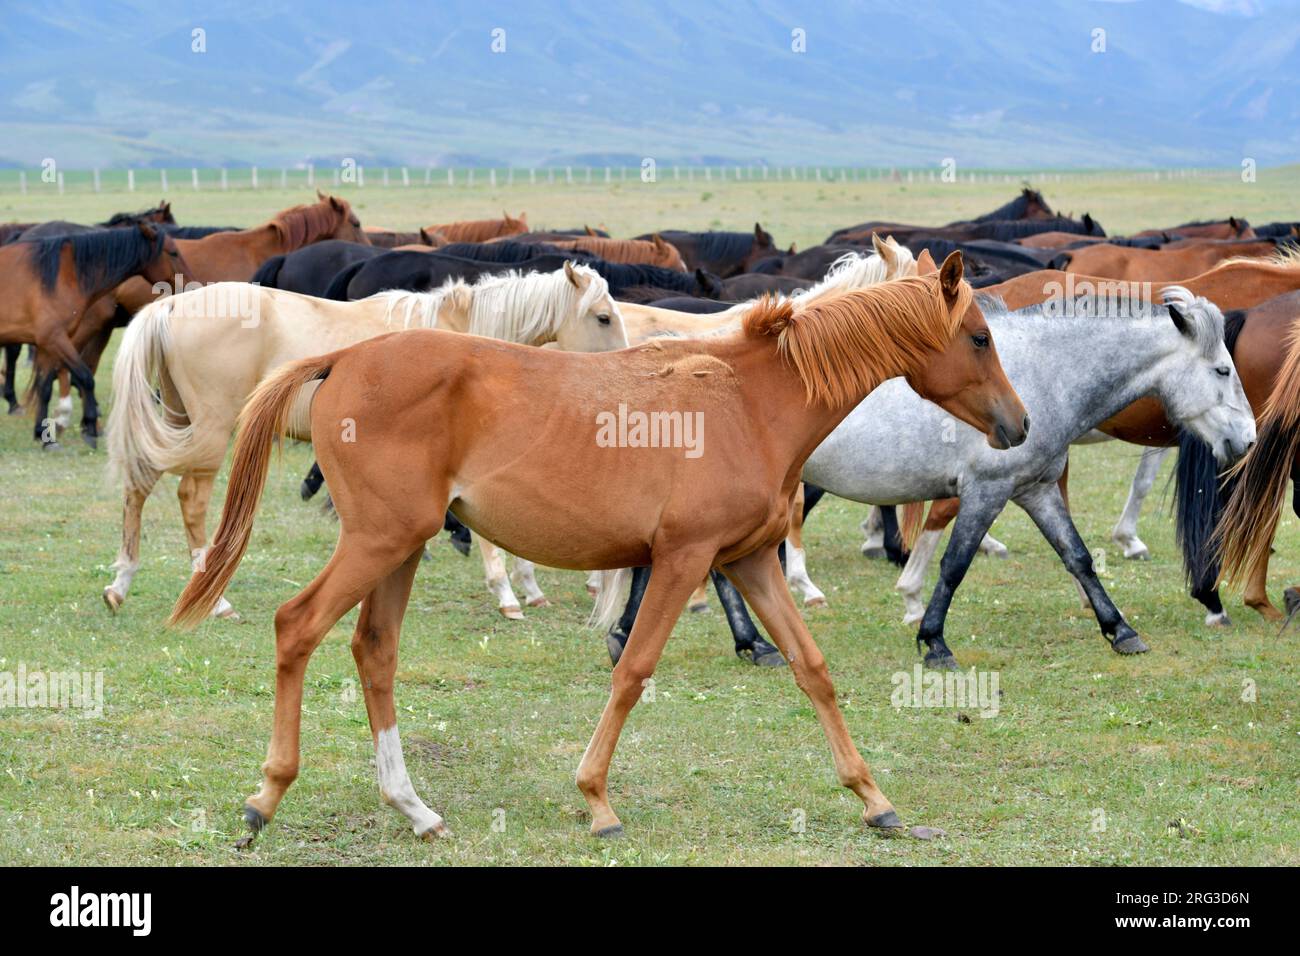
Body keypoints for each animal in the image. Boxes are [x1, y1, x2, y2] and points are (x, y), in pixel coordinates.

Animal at [0, 223, 192, 448]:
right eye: (173, 252)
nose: (191, 283)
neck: (63, 276)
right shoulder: (55, 340)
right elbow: (85, 377)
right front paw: (90, 428)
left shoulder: (47, 345)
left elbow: (44, 387)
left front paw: (44, 435)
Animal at [103, 263, 626, 618]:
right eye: (602, 317)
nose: (623, 366)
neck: (466, 337)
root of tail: (172, 302)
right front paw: (508, 592)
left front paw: (529, 587)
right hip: (210, 430)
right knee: (191, 499)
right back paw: (215, 598)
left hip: (178, 420)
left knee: (139, 485)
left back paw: (121, 584)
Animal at [166, 249, 1027, 845]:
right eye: (980, 337)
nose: (1019, 425)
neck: (751, 400)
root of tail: (344, 356)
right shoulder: (683, 561)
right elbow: (633, 670)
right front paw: (597, 801)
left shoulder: (748, 561)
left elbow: (812, 669)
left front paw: (874, 799)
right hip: (379, 543)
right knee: (298, 627)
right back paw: (267, 796)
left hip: (398, 549)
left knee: (373, 653)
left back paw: (414, 808)